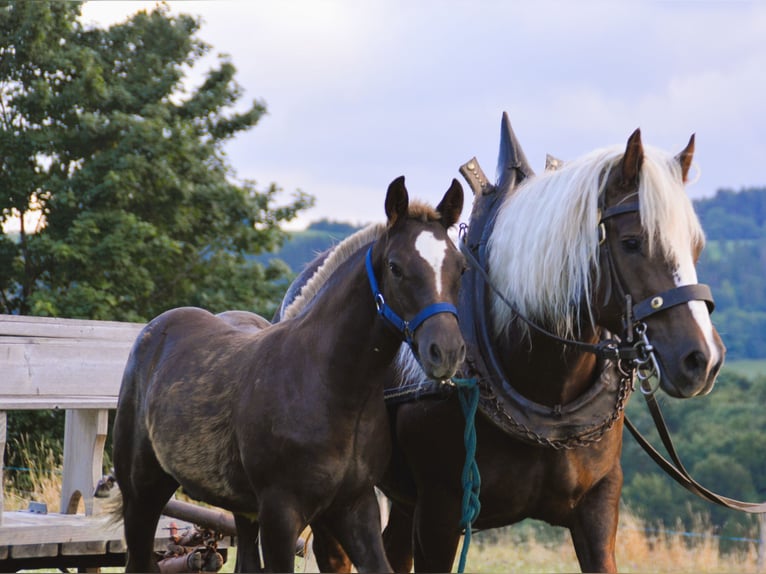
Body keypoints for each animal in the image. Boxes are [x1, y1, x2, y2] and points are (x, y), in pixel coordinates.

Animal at [111, 175, 467, 573]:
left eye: (461, 267)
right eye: (395, 267)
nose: (446, 351)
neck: (330, 385)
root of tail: (155, 329)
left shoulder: (356, 506)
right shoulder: (280, 514)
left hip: (240, 508)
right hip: (141, 491)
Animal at [283, 116, 726, 573]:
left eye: (696, 246)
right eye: (633, 242)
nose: (702, 359)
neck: (548, 396)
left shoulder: (599, 505)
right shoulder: (440, 512)